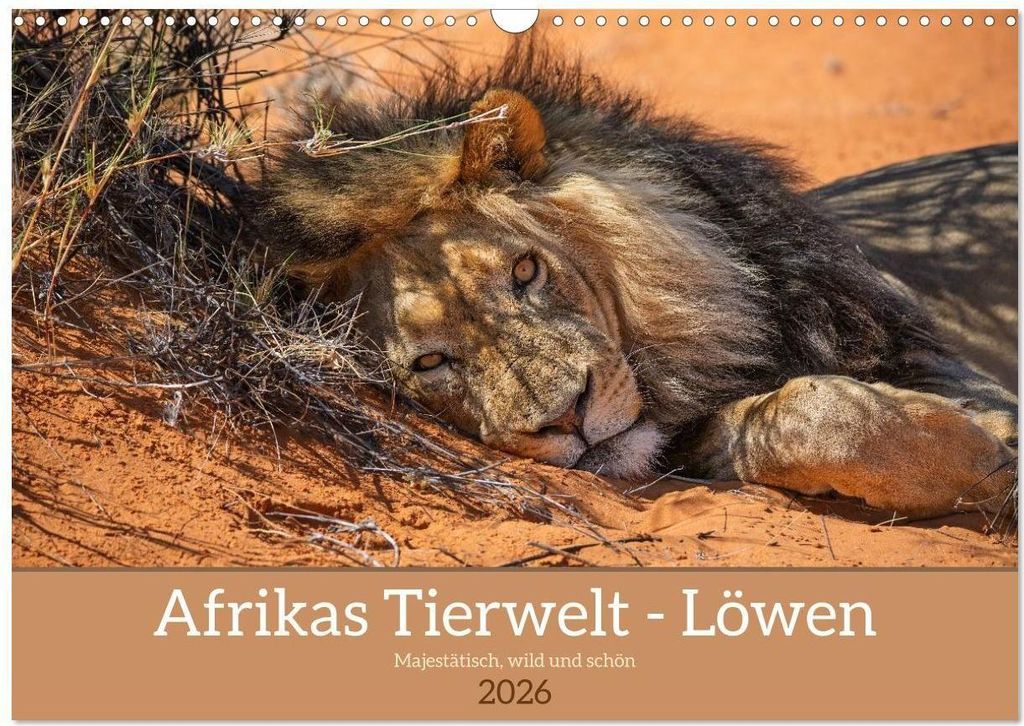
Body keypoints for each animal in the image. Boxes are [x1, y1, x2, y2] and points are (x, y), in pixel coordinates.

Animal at [255, 44, 1017, 519]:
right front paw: (983, 454)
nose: (569, 417)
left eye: (525, 270)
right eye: (431, 362)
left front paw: (990, 444)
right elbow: (798, 415)